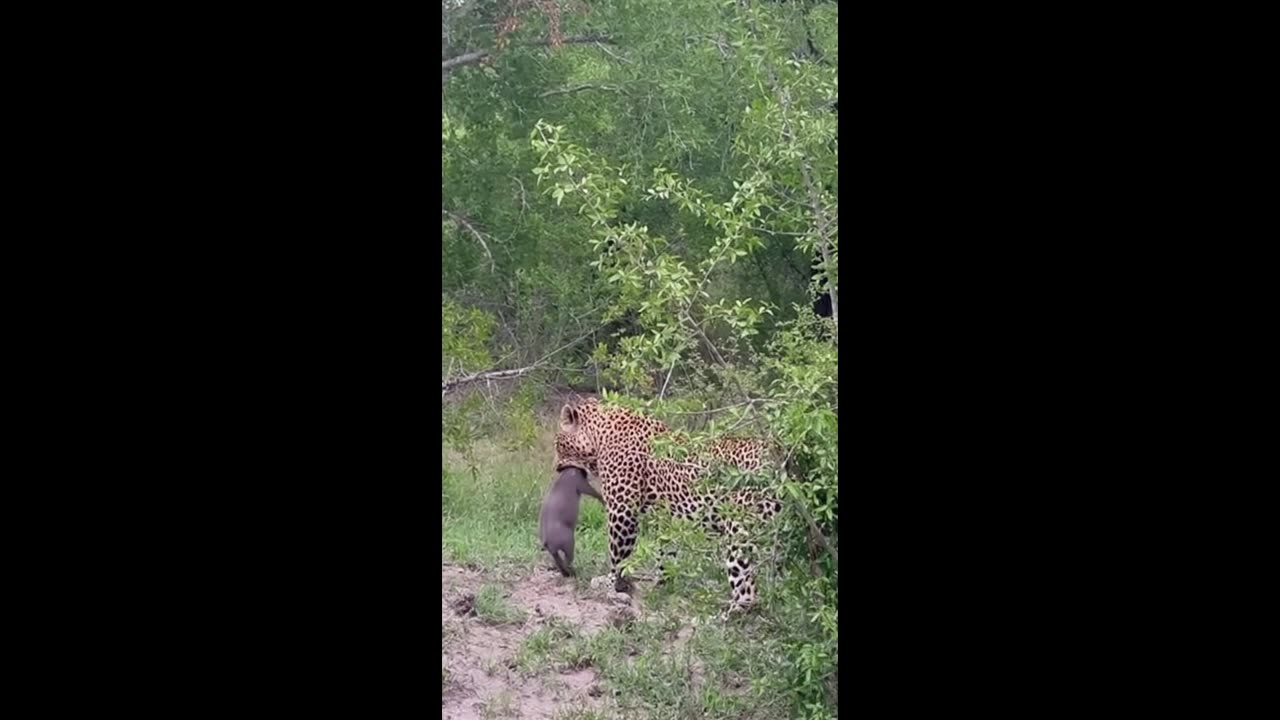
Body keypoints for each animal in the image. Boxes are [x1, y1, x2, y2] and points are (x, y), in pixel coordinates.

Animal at [553, 397, 781, 612]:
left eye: (558, 444)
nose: (556, 468)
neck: (599, 436)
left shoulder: (623, 511)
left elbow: (618, 555)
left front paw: (608, 583)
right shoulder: (668, 518)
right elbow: (665, 551)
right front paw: (663, 583)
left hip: (740, 532)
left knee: (746, 586)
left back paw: (731, 612)